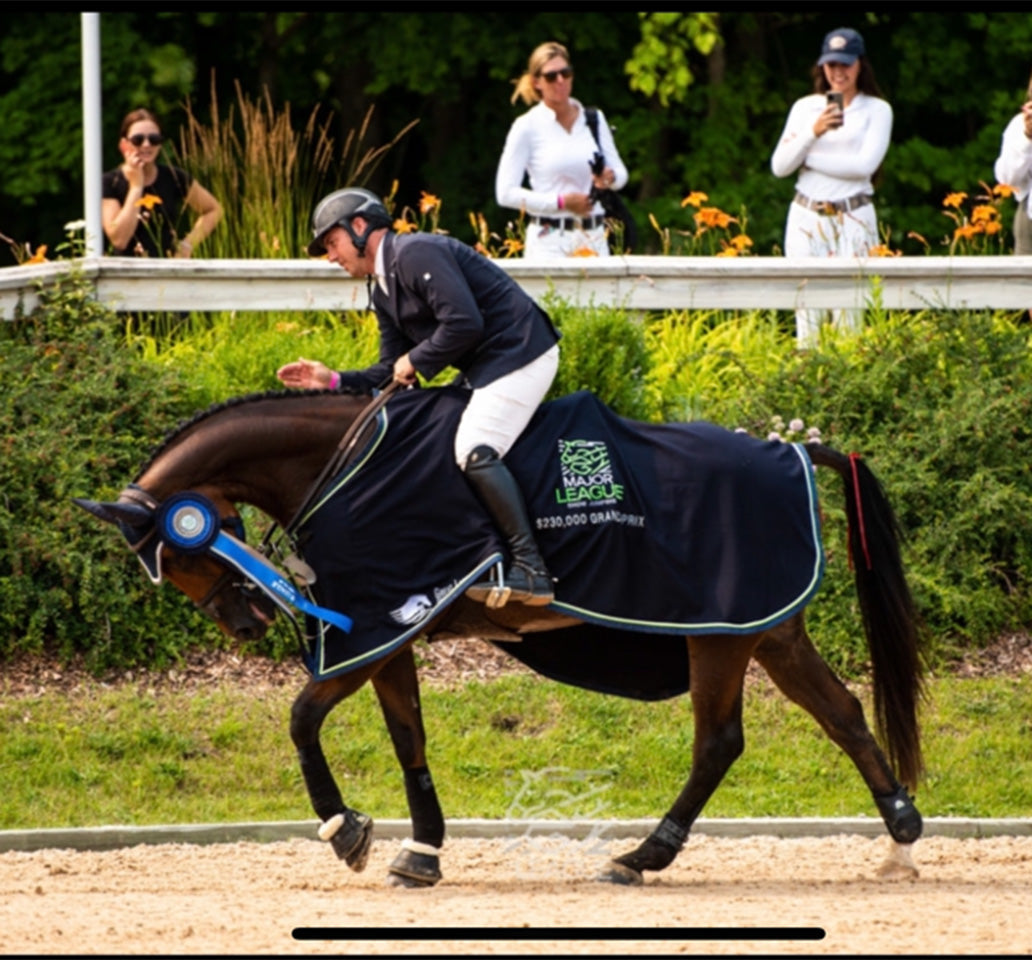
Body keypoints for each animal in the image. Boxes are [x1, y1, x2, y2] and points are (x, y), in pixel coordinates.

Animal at [74, 385, 925, 888]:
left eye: (180, 552)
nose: (247, 622)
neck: (343, 467)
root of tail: (791, 449)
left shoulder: (378, 625)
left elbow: (302, 718)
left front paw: (346, 831)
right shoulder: (391, 634)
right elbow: (407, 738)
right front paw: (421, 850)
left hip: (719, 633)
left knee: (719, 741)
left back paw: (642, 856)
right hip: (765, 630)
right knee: (842, 714)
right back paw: (901, 838)